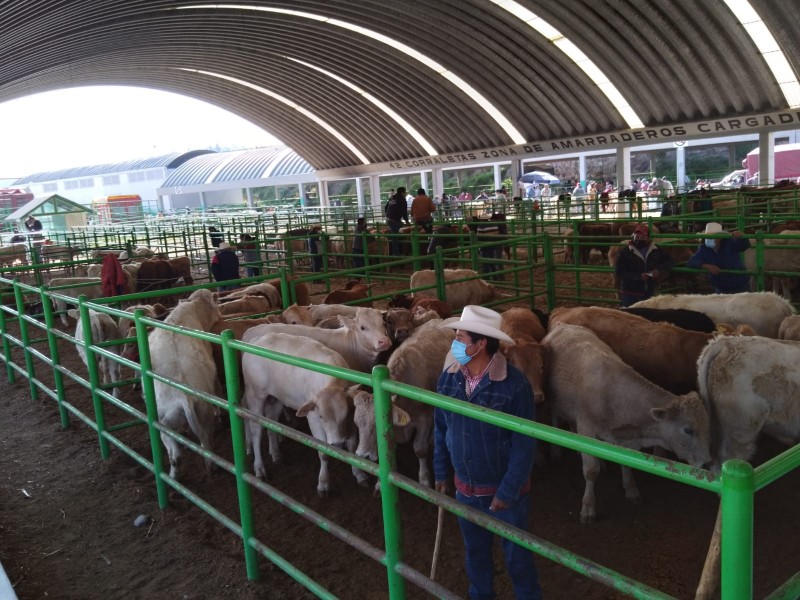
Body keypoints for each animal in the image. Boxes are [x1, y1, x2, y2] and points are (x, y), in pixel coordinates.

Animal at [241, 330, 366, 494]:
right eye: (321, 416)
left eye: (345, 414)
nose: (337, 443)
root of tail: (257, 340)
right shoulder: (312, 418)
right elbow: (323, 453)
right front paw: (323, 483)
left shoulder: (350, 420)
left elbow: (352, 446)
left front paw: (359, 475)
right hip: (255, 394)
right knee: (255, 429)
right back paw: (259, 468)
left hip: (277, 399)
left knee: (271, 424)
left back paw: (276, 454)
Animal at [544, 324, 712, 524]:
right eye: (688, 429)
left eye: (708, 426)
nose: (708, 463)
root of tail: (564, 325)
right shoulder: (586, 427)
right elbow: (591, 471)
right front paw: (588, 507)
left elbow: (626, 462)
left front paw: (631, 490)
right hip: (554, 401)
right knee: (555, 417)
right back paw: (556, 451)